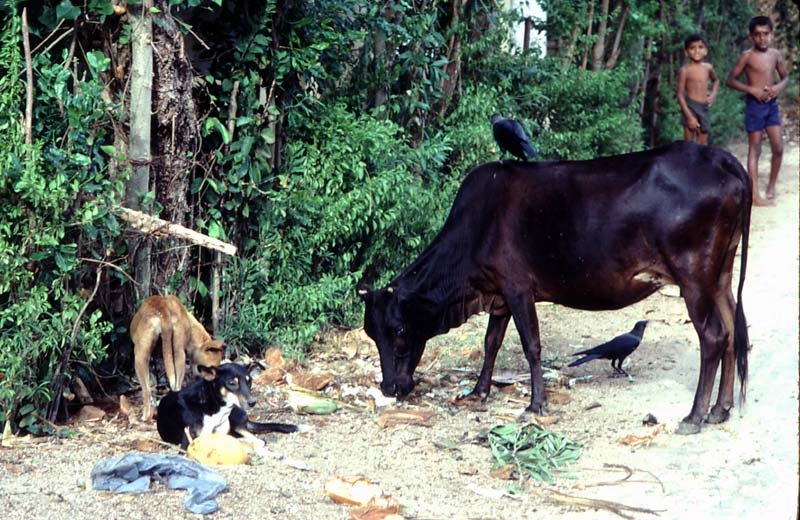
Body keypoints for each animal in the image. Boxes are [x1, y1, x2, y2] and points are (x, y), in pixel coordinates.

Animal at [360, 141, 752, 434]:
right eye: (371, 333)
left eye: (399, 329)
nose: (389, 386)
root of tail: (718, 157)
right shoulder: (499, 294)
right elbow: (491, 343)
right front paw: (479, 391)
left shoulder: (517, 288)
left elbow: (532, 346)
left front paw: (535, 404)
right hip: (720, 275)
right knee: (733, 331)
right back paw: (720, 409)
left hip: (693, 276)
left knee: (714, 337)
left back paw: (695, 415)